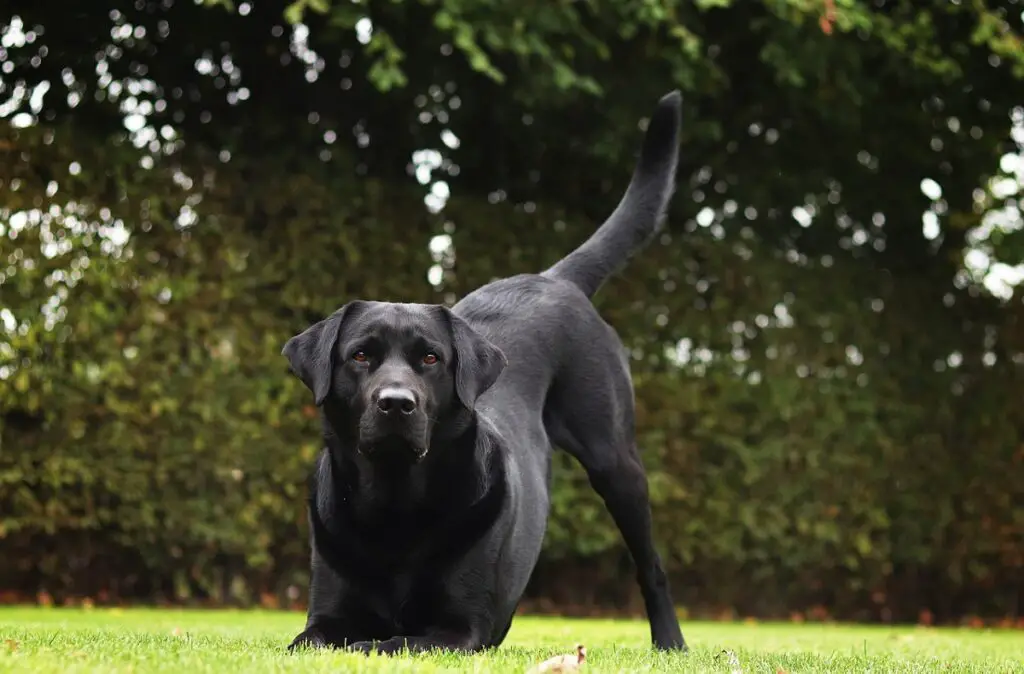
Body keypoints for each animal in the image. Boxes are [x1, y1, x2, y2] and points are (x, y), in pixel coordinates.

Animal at [282, 89, 688, 651]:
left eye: (431, 358)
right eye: (360, 356)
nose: (396, 404)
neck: (394, 505)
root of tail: (554, 278)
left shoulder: (458, 629)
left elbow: (384, 642)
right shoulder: (323, 618)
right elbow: (321, 638)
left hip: (615, 460)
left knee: (652, 565)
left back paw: (671, 643)